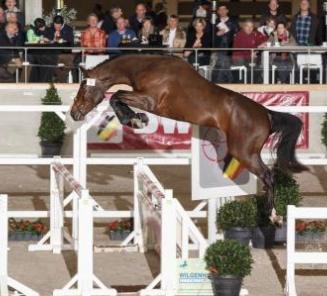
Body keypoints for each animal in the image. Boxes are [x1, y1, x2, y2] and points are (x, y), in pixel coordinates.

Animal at [70, 54, 308, 223]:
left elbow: (117, 96)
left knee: (268, 175)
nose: (74, 113)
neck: (147, 67)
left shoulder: (148, 100)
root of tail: (267, 114)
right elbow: (117, 97)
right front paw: (136, 119)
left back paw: (273, 215)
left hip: (245, 153)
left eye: (82, 89)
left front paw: (135, 120)